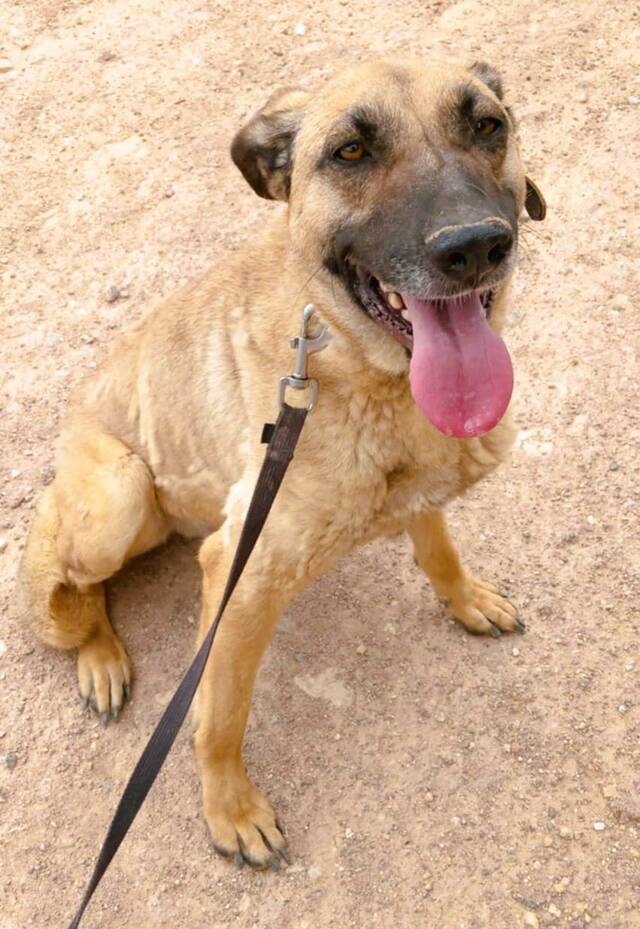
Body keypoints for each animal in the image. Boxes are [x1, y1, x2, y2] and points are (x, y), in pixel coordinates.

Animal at [20, 57, 545, 869]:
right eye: (351, 152)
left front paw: (466, 599)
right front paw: (229, 809)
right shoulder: (242, 573)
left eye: (488, 125)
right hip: (118, 493)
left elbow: (439, 546)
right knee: (64, 581)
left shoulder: (417, 490)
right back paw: (97, 653)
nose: (472, 248)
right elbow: (218, 715)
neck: (357, 367)